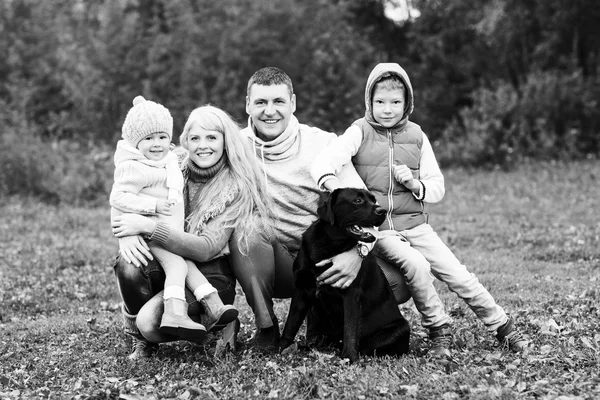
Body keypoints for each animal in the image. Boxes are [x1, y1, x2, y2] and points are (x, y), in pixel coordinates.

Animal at [278, 188, 410, 362]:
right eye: (358, 200)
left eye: (373, 200)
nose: (382, 211)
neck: (329, 245)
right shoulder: (301, 290)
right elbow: (290, 324)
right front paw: (280, 349)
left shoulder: (350, 293)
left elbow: (350, 328)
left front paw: (348, 357)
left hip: (401, 328)